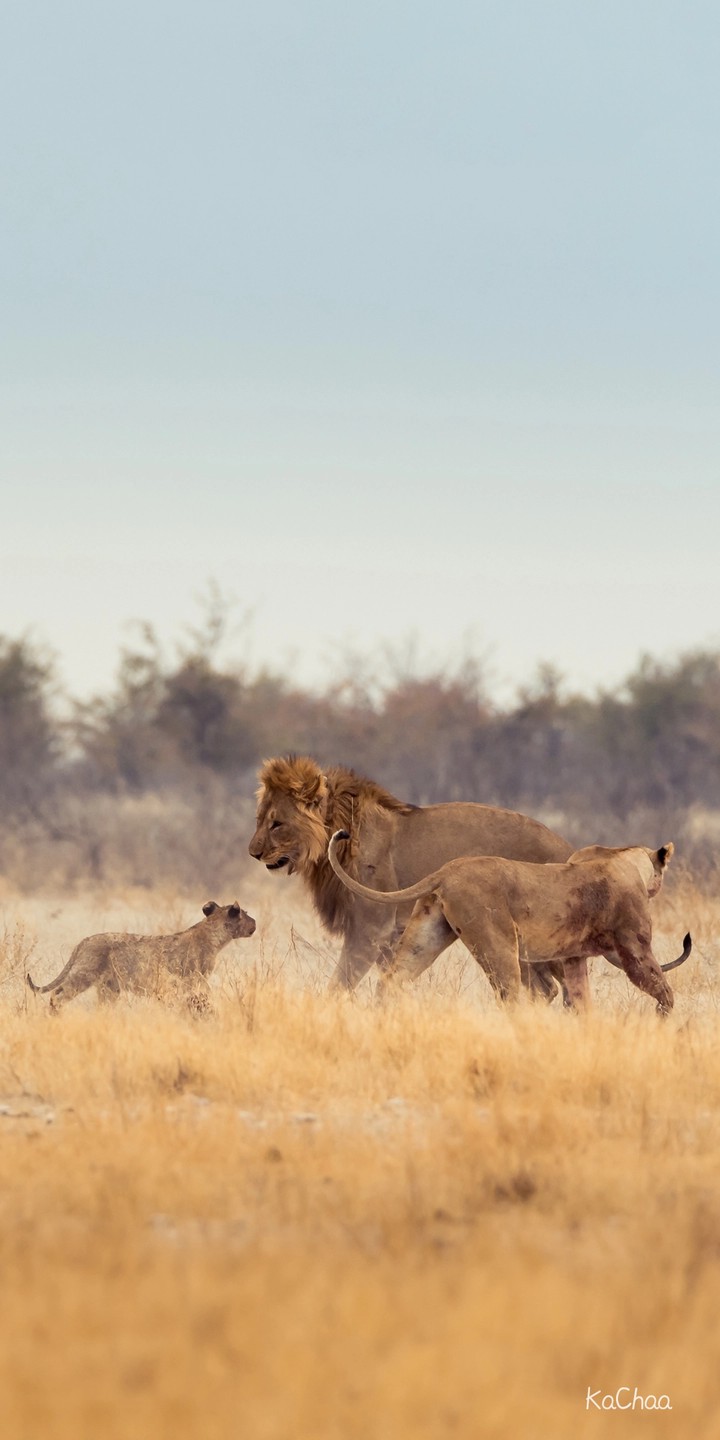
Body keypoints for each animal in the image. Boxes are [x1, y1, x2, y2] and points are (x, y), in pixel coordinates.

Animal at [26, 901, 256, 1012]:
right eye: (244, 913)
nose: (255, 923)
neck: (214, 936)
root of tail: (84, 941)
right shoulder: (194, 979)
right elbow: (201, 1000)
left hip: (109, 987)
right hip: (84, 975)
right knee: (57, 994)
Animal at [250, 755, 605, 1000]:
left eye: (277, 824)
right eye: (259, 819)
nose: (253, 852)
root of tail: (568, 848)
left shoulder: (371, 928)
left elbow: (339, 984)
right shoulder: (389, 938)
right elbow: (389, 981)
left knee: (549, 988)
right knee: (549, 989)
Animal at [327, 829, 691, 1013]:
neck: (626, 861)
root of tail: (447, 869)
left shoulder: (574, 957)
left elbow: (581, 998)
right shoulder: (633, 946)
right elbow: (658, 983)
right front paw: (666, 1017)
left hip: (426, 935)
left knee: (390, 980)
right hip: (498, 943)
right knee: (511, 995)